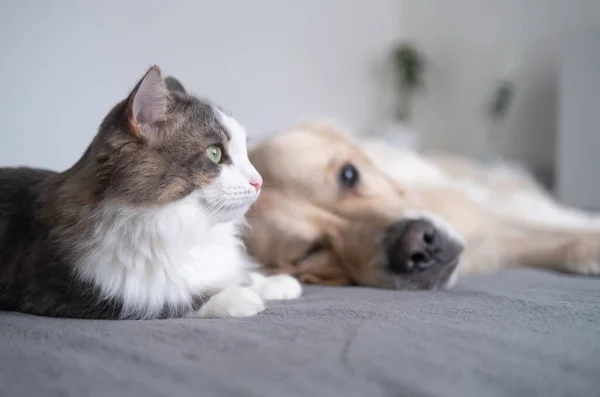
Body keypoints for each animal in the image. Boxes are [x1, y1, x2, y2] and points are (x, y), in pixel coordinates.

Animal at [0, 65, 302, 318]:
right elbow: (171, 298)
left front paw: (274, 283)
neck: (188, 227)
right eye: (215, 153)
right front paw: (237, 297)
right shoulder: (76, 288)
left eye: (244, 151)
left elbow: (237, 273)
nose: (258, 181)